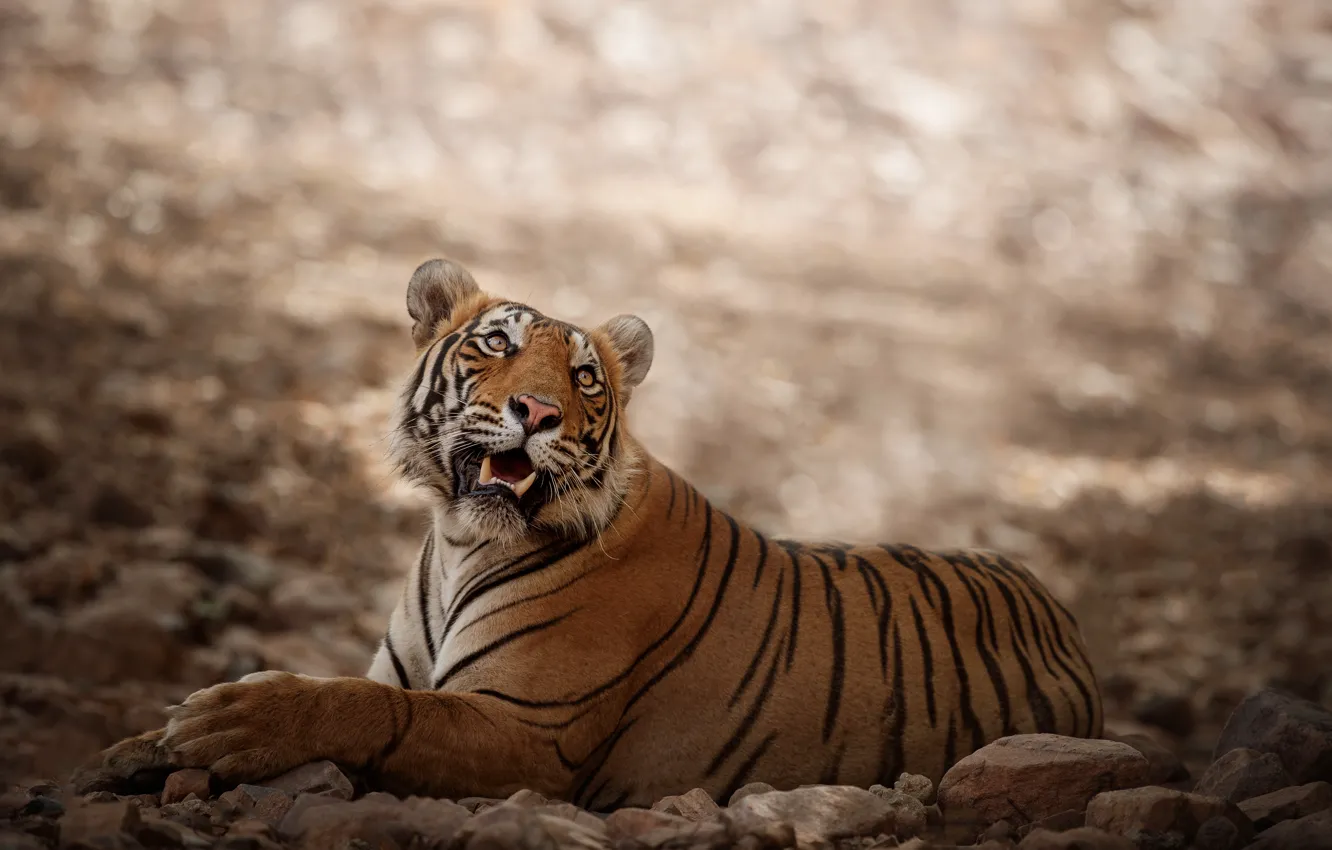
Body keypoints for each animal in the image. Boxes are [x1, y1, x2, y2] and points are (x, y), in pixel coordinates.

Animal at [75, 258, 1103, 811]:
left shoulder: (527, 731)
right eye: (495, 345)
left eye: (584, 378)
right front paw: (139, 747)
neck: (459, 542)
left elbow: (365, 707)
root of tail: (1060, 611)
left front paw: (236, 718)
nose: (535, 414)